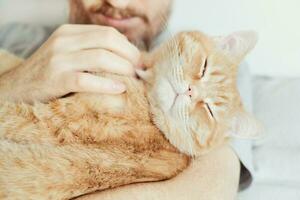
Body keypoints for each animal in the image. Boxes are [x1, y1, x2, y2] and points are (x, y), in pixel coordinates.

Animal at [0, 30, 260, 199]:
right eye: (204, 66)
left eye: (209, 111)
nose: (190, 91)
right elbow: (12, 62)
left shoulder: (52, 119)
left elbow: (9, 111)